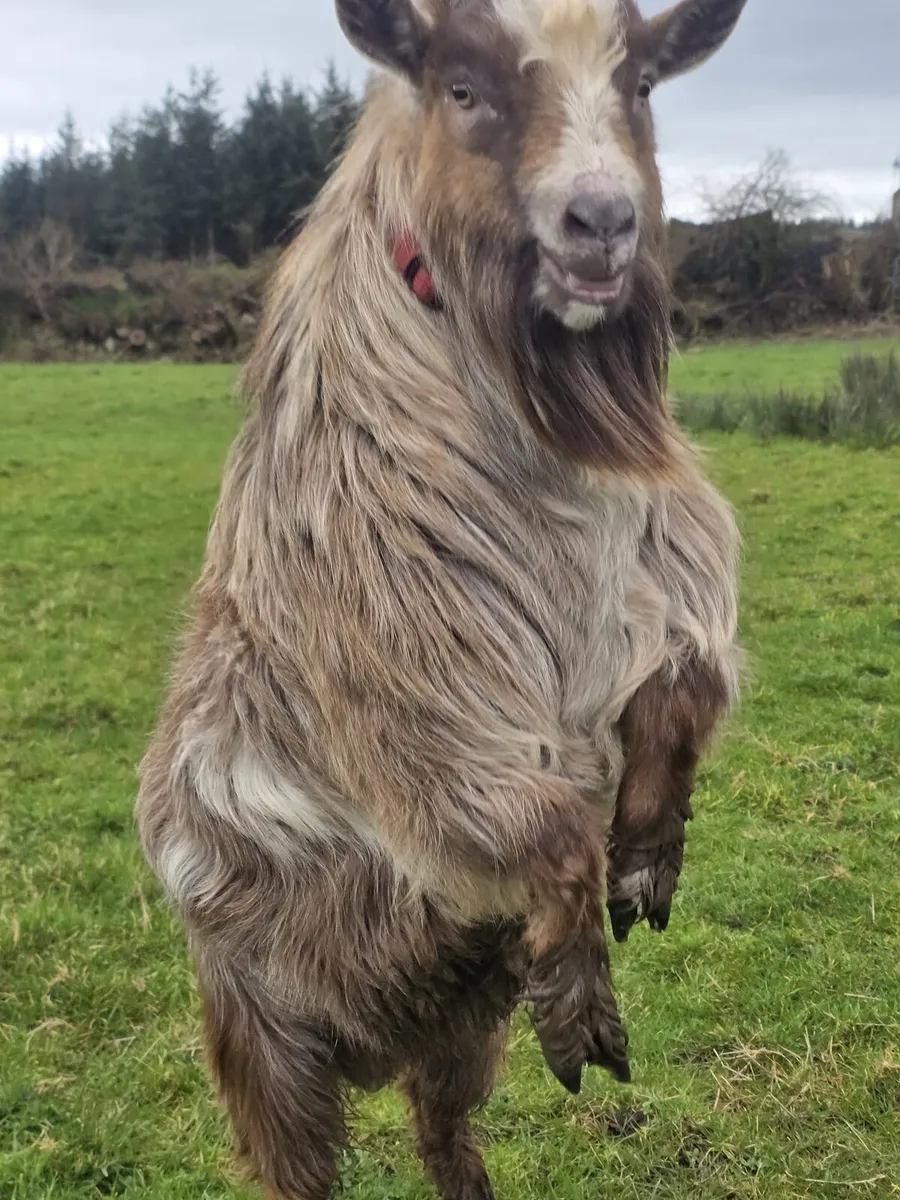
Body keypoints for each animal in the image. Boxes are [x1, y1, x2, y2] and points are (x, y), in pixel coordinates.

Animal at [136, 1, 746, 1196]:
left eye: (643, 83)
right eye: (462, 88)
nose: (600, 222)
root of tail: (378, 1043)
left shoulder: (652, 587)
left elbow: (686, 687)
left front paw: (647, 860)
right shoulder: (421, 705)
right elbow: (549, 823)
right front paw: (584, 1013)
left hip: (464, 1024)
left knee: (442, 1135)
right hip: (266, 1044)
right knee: (300, 1169)